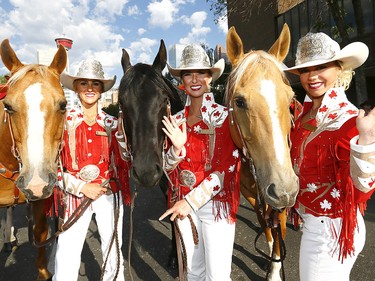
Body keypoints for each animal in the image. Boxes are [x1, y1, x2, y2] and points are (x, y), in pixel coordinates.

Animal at [226, 24, 300, 280]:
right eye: (239, 101)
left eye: (291, 98)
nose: (285, 190)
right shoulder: (252, 194)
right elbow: (264, 221)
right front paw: (268, 249)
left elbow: (280, 227)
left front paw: (275, 269)